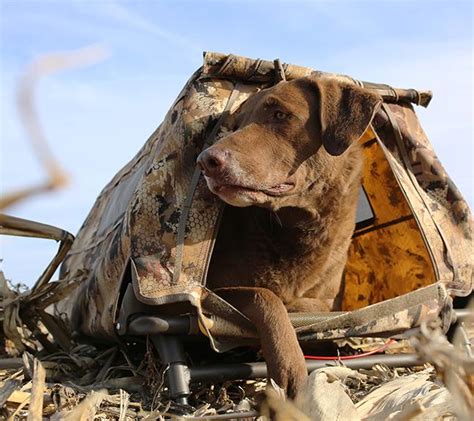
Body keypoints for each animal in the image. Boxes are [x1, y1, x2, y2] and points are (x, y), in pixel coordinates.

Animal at [196, 76, 382, 398]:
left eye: (280, 114)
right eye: (235, 125)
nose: (206, 161)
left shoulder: (327, 293)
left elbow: (321, 307)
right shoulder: (210, 288)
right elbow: (265, 295)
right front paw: (289, 364)